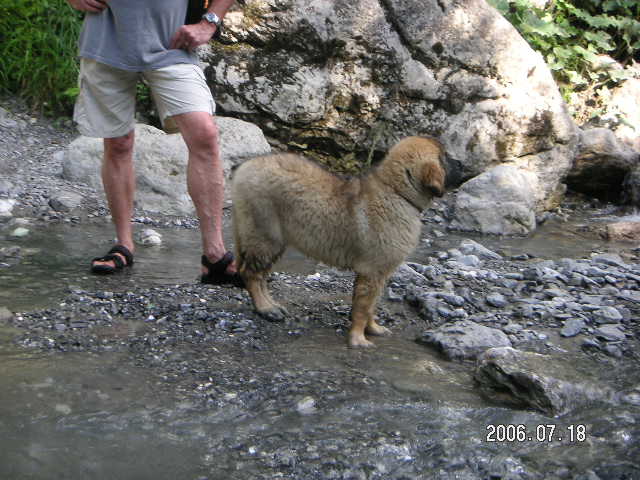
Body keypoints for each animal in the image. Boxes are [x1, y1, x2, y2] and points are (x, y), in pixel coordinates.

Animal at [231, 137, 444, 346]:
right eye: (446, 158)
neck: (396, 191)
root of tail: (245, 168)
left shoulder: (377, 273)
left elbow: (370, 305)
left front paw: (373, 329)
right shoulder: (372, 271)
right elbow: (363, 307)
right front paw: (358, 339)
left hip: (269, 239)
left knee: (261, 275)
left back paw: (272, 305)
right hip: (263, 234)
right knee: (251, 274)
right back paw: (265, 308)